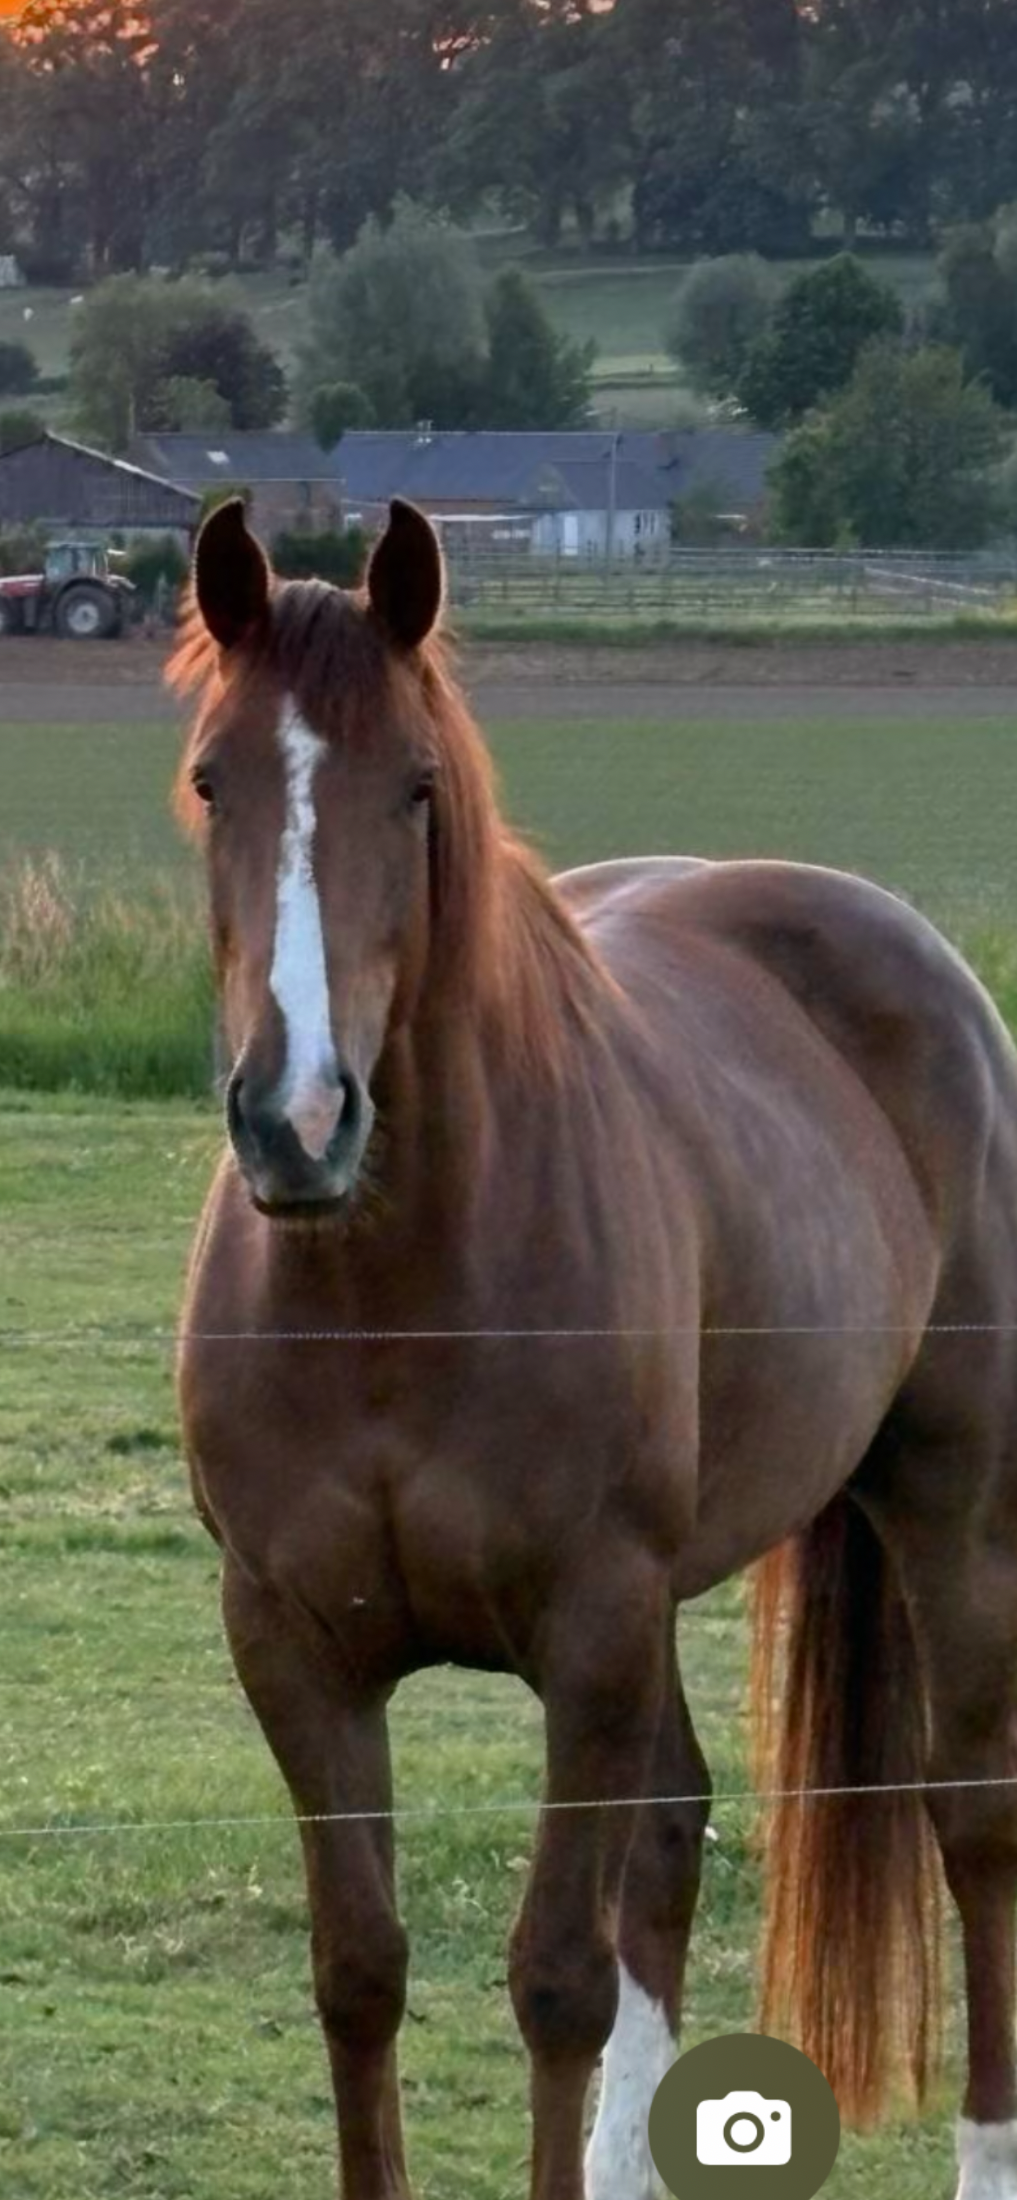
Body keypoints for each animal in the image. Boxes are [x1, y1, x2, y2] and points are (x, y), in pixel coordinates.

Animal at [172, 494, 1017, 2200]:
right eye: (213, 778)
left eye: (417, 787)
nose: (299, 1118)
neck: (392, 1295)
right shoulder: (291, 1647)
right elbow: (358, 1971)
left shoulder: (589, 1624)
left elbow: (556, 1978)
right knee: (677, 1831)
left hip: (945, 1507)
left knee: (968, 1820)